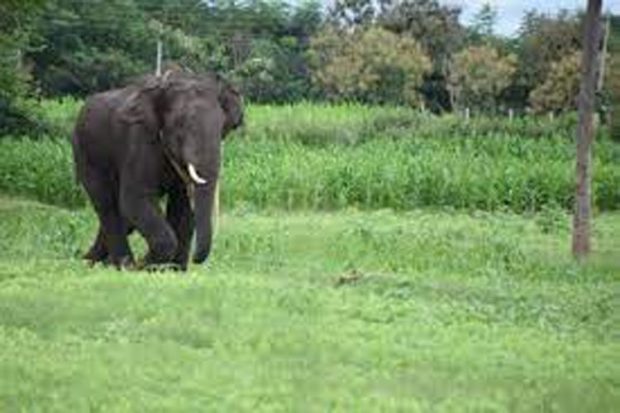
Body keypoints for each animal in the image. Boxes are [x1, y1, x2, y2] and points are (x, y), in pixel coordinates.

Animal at [73, 70, 245, 270]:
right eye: (180, 128)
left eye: (222, 128)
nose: (195, 260)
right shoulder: (140, 139)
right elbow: (135, 198)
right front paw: (146, 266)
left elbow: (183, 206)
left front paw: (173, 270)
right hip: (85, 154)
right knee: (107, 205)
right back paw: (123, 265)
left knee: (123, 216)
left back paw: (95, 260)